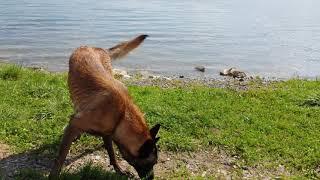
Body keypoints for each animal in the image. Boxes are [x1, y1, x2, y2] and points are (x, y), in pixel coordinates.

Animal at [48, 34, 160, 179]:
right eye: (151, 163)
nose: (151, 178)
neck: (122, 115)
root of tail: (95, 48)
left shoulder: (107, 133)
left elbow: (111, 152)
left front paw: (119, 169)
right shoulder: (75, 124)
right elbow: (61, 157)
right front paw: (54, 175)